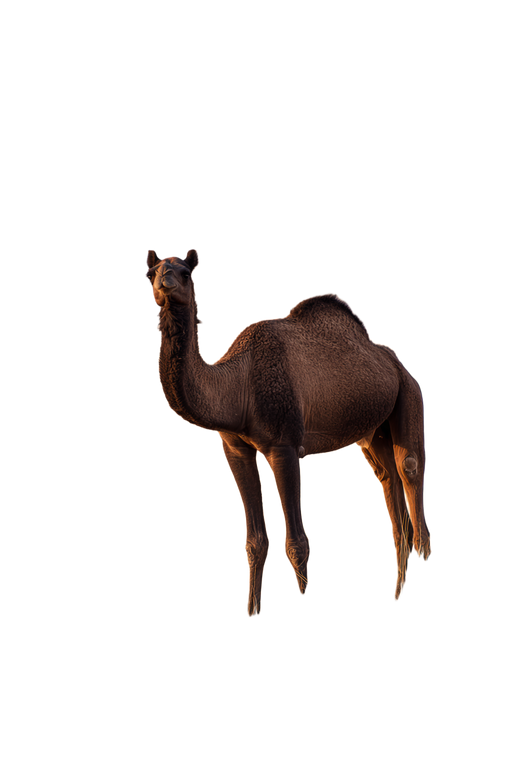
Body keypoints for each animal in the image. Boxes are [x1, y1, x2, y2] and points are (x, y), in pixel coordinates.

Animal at [143, 246, 433, 619]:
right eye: (151, 272)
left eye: (184, 272)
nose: (164, 281)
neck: (237, 384)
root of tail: (397, 363)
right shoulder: (234, 449)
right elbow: (254, 540)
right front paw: (252, 610)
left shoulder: (284, 445)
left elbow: (296, 540)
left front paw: (302, 596)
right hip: (371, 431)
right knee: (386, 479)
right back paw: (396, 591)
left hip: (409, 394)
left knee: (409, 467)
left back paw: (420, 557)